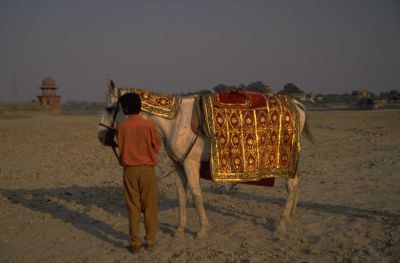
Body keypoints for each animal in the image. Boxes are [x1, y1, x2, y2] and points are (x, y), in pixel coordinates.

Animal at [98, 78, 314, 239]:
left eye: (109, 108)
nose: (101, 136)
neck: (175, 121)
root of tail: (297, 104)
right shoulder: (179, 163)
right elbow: (181, 193)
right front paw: (180, 229)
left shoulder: (190, 163)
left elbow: (195, 193)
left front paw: (203, 229)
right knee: (298, 182)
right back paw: (290, 217)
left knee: (292, 185)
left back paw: (281, 224)